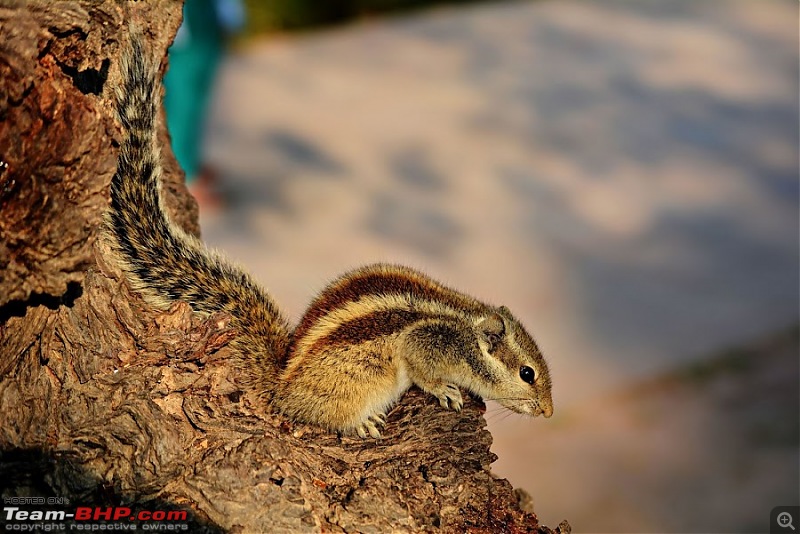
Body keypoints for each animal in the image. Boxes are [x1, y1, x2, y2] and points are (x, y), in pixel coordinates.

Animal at [109, 31, 552, 440]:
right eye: (527, 373)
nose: (548, 411)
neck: (466, 329)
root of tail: (281, 387)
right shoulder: (425, 343)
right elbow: (422, 369)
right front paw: (445, 390)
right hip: (360, 382)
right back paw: (363, 421)